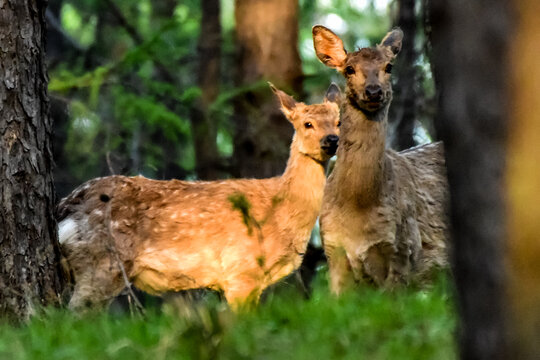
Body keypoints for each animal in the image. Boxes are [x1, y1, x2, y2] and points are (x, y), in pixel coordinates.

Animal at [58, 83, 342, 310]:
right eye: (307, 123)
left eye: (339, 121)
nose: (332, 140)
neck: (282, 209)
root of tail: (66, 205)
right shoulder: (241, 270)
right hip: (102, 262)